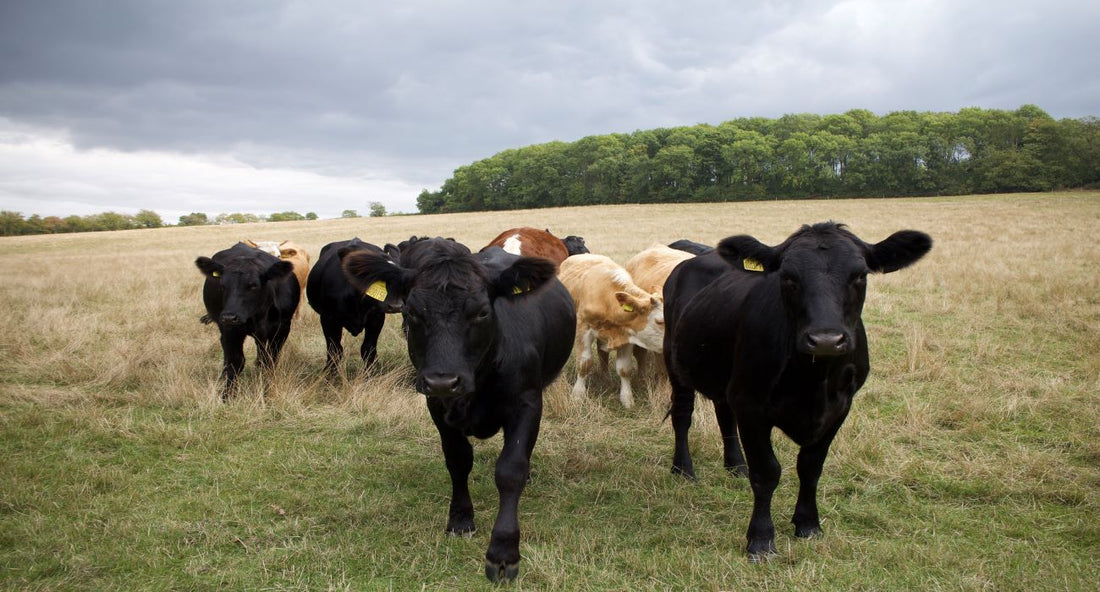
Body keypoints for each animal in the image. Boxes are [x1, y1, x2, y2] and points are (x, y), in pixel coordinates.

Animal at [195, 242, 301, 398]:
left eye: (253, 285)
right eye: (222, 286)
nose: (229, 316)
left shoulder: (282, 328)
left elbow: (271, 359)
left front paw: (268, 388)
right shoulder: (231, 329)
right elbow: (236, 361)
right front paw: (228, 395)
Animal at [305, 237, 400, 371]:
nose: (396, 306)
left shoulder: (376, 318)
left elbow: (368, 348)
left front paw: (372, 371)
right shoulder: (328, 319)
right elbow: (335, 350)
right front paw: (329, 373)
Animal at [343, 236, 576, 580]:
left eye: (482, 312)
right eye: (412, 312)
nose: (443, 380)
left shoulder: (527, 402)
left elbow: (511, 469)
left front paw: (503, 552)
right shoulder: (437, 407)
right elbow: (458, 460)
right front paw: (461, 519)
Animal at [558, 253, 660, 404]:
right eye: (659, 321)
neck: (606, 298)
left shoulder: (627, 337)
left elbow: (624, 369)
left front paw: (627, 398)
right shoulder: (583, 330)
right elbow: (584, 363)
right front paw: (578, 394)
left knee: (602, 353)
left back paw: (605, 378)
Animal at [660, 221, 928, 556]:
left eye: (860, 275)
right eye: (787, 277)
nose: (826, 339)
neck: (814, 380)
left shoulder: (841, 406)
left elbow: (811, 467)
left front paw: (808, 524)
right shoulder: (751, 405)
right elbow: (767, 472)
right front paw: (761, 539)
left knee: (724, 416)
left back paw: (736, 464)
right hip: (676, 362)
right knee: (683, 415)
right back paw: (683, 469)